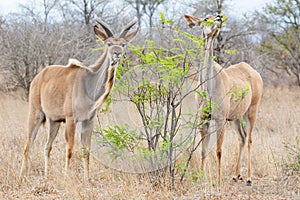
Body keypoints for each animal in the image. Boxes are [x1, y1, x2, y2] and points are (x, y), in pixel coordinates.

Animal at [19, 18, 139, 182]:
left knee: (47, 146)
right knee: (28, 146)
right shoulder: (71, 120)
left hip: (54, 121)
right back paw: (21, 178)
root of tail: (38, 77)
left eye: (123, 44)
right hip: (36, 114)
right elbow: (70, 149)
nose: (117, 54)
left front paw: (87, 179)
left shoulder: (88, 120)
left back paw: (46, 176)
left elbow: (86, 150)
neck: (89, 84)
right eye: (108, 44)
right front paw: (66, 177)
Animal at [184, 14, 264, 186]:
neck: (208, 86)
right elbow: (203, 150)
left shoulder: (220, 119)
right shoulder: (204, 119)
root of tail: (254, 72)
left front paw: (219, 181)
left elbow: (219, 150)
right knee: (241, 138)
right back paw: (235, 175)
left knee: (249, 139)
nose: (219, 17)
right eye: (205, 18)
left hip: (251, 111)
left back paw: (248, 178)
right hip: (236, 118)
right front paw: (201, 179)